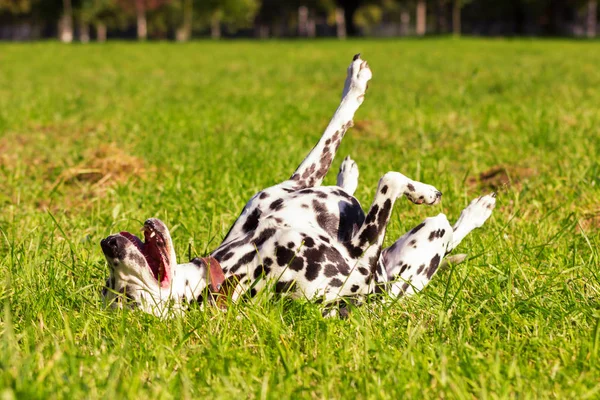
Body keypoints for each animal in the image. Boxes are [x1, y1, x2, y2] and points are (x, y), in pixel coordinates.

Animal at [101, 54, 496, 316]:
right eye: (125, 296)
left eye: (112, 287)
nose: (107, 244)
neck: (237, 262)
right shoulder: (362, 263)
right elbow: (391, 179)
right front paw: (423, 190)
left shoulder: (296, 182)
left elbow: (331, 134)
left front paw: (354, 82)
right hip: (415, 257)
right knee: (444, 232)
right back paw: (475, 210)